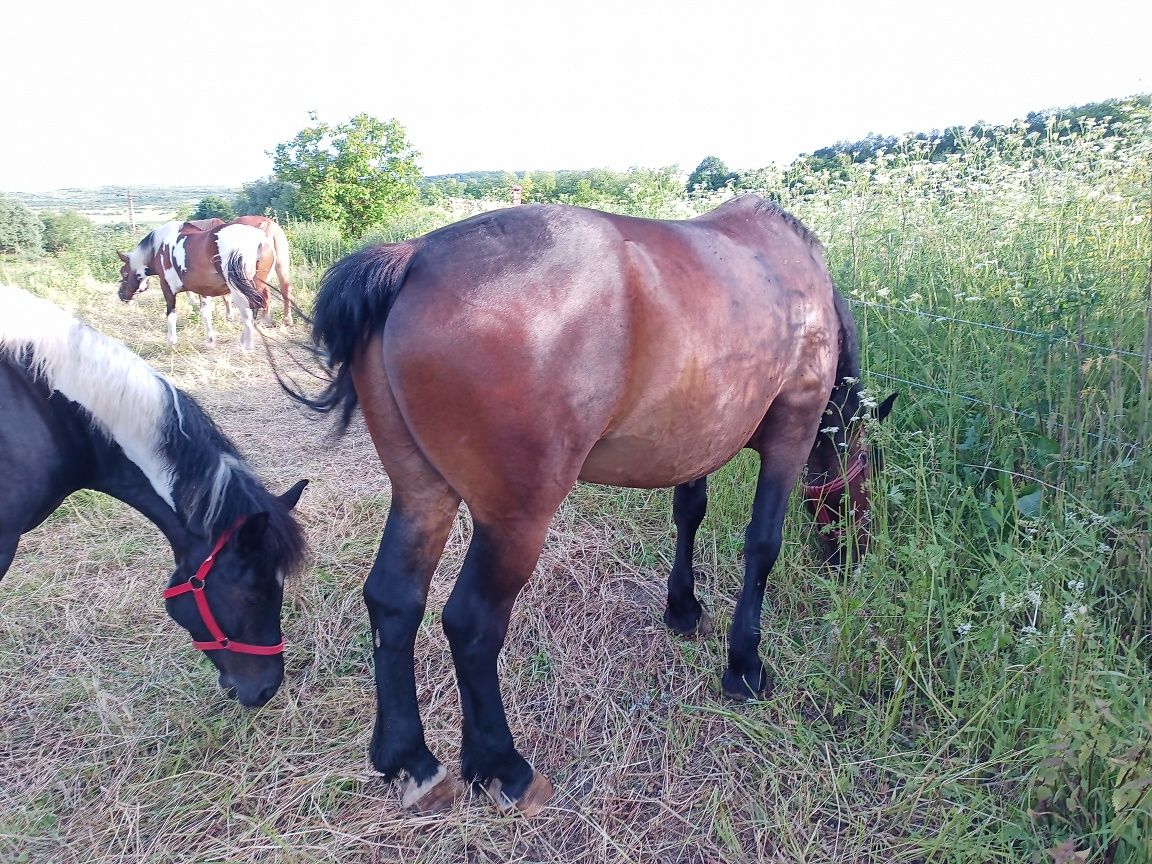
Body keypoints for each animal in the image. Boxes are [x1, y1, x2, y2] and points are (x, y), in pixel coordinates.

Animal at [117, 221, 274, 352]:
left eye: (124, 274)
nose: (121, 295)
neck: (160, 248)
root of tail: (258, 240)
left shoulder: (167, 289)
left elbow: (171, 315)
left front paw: (171, 342)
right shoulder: (203, 289)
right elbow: (205, 313)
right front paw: (210, 339)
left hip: (238, 290)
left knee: (248, 313)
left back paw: (246, 346)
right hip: (257, 285)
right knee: (255, 309)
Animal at [283, 195, 893, 820]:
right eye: (868, 480)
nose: (855, 556)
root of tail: (413, 257)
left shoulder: (697, 436)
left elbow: (689, 512)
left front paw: (683, 608)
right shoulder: (793, 429)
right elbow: (762, 544)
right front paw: (745, 664)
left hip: (421, 493)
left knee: (393, 601)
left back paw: (410, 760)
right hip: (516, 520)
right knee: (472, 623)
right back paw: (504, 767)